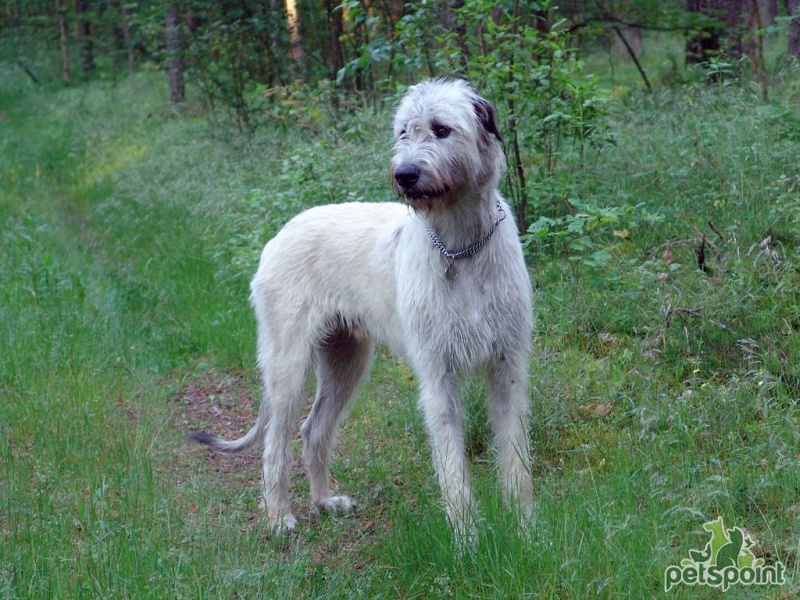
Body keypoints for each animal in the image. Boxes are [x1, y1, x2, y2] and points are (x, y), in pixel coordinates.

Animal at [191, 81, 536, 540]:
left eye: (442, 129)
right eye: (404, 131)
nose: (404, 174)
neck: (461, 247)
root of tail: (278, 235)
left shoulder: (507, 365)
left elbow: (515, 454)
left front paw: (527, 528)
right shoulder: (437, 376)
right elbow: (451, 464)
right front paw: (466, 537)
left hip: (345, 360)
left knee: (313, 430)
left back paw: (324, 501)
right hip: (288, 366)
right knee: (275, 443)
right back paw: (279, 516)